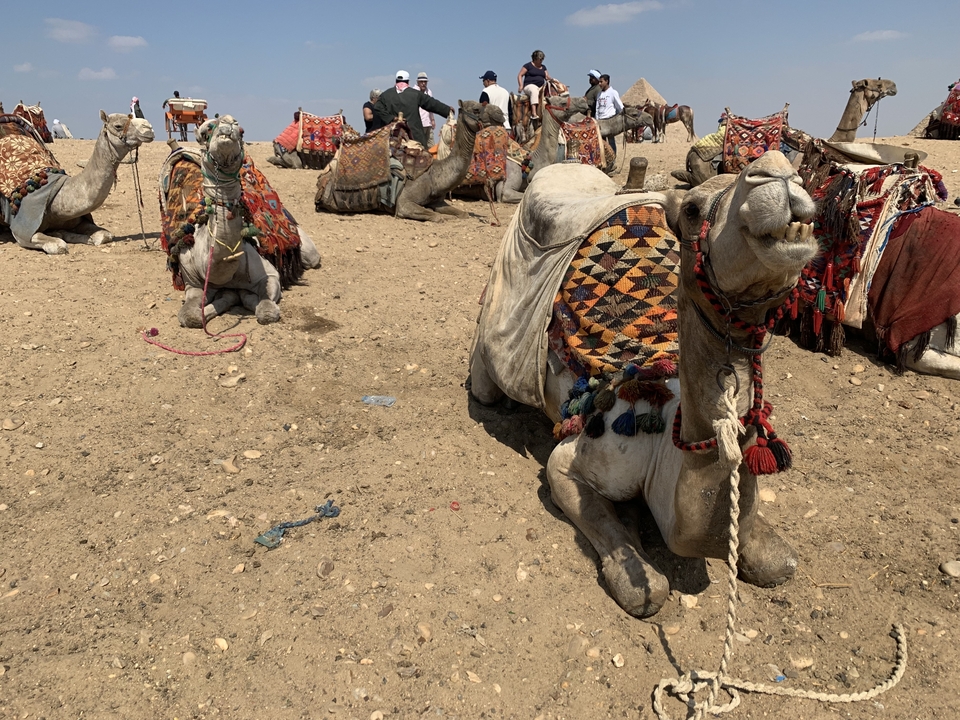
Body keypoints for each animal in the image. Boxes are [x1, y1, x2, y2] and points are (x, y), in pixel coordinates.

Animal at [1, 110, 154, 254]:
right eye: (118, 126)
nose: (148, 127)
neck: (57, 198)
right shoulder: (23, 230)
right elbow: (59, 245)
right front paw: (59, 235)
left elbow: (105, 235)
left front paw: (75, 235)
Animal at [160, 116, 320, 328]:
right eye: (204, 131)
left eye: (242, 131)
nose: (227, 124)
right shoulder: (192, 283)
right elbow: (189, 315)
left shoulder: (269, 275)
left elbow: (265, 310)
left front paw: (247, 298)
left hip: (307, 251)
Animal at [315, 101, 487, 222]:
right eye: (476, 109)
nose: (493, 115)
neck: (436, 174)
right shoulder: (404, 203)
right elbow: (436, 216)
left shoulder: (438, 202)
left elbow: (463, 214)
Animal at [469, 152, 817, 617]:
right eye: (692, 210)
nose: (778, 170)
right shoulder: (574, 458)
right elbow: (640, 580)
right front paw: (634, 560)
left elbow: (778, 560)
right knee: (486, 386)